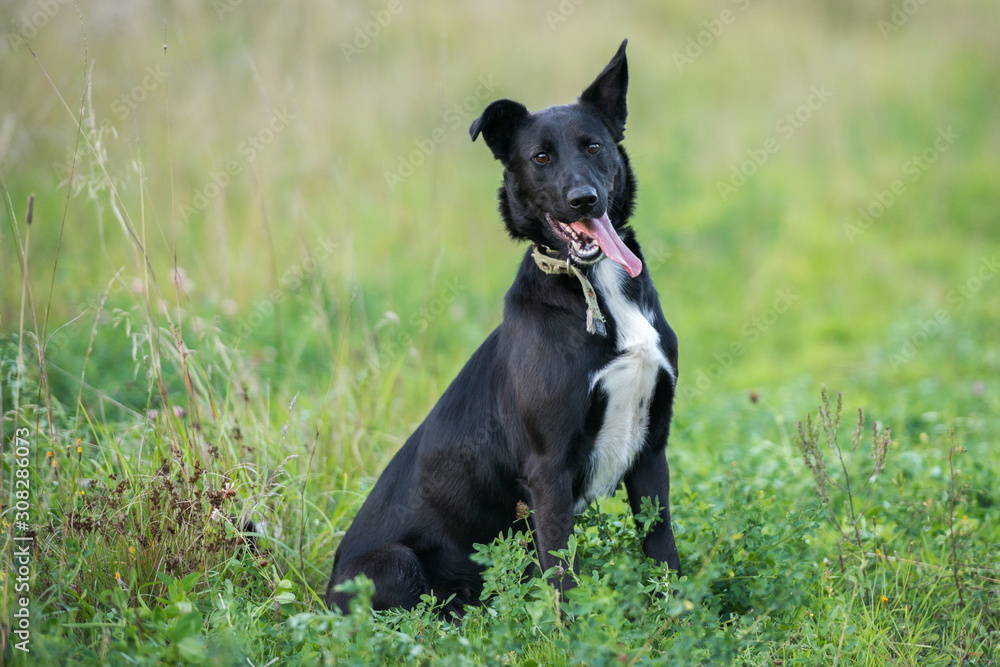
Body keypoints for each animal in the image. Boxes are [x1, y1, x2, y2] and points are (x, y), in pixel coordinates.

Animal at [328, 40, 680, 616]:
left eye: (594, 146)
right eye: (541, 158)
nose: (584, 199)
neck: (593, 284)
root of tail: (321, 591)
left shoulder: (652, 450)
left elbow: (663, 551)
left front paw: (682, 618)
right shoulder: (548, 470)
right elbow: (562, 575)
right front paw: (574, 632)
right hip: (395, 563)